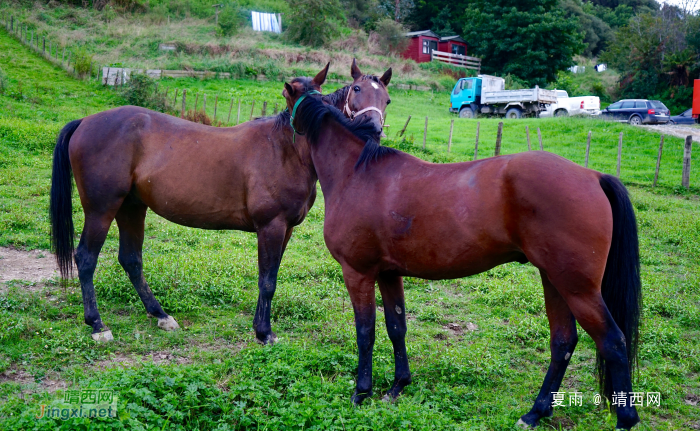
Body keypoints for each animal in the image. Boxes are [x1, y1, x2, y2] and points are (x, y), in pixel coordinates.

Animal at [47, 60, 388, 344]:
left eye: (386, 99)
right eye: (356, 91)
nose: (373, 129)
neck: (284, 150)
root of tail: (85, 122)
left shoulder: (286, 229)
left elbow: (270, 277)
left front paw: (260, 328)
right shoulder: (271, 226)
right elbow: (267, 281)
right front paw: (264, 333)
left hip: (131, 207)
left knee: (131, 259)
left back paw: (161, 315)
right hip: (102, 209)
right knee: (86, 258)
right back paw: (97, 325)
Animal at [284, 83, 640, 428]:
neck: (358, 174)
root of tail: (592, 176)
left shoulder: (357, 273)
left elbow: (365, 331)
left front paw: (361, 392)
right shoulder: (388, 273)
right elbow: (396, 326)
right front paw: (398, 386)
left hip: (578, 289)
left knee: (613, 343)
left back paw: (623, 419)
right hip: (554, 281)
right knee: (563, 342)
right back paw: (535, 413)